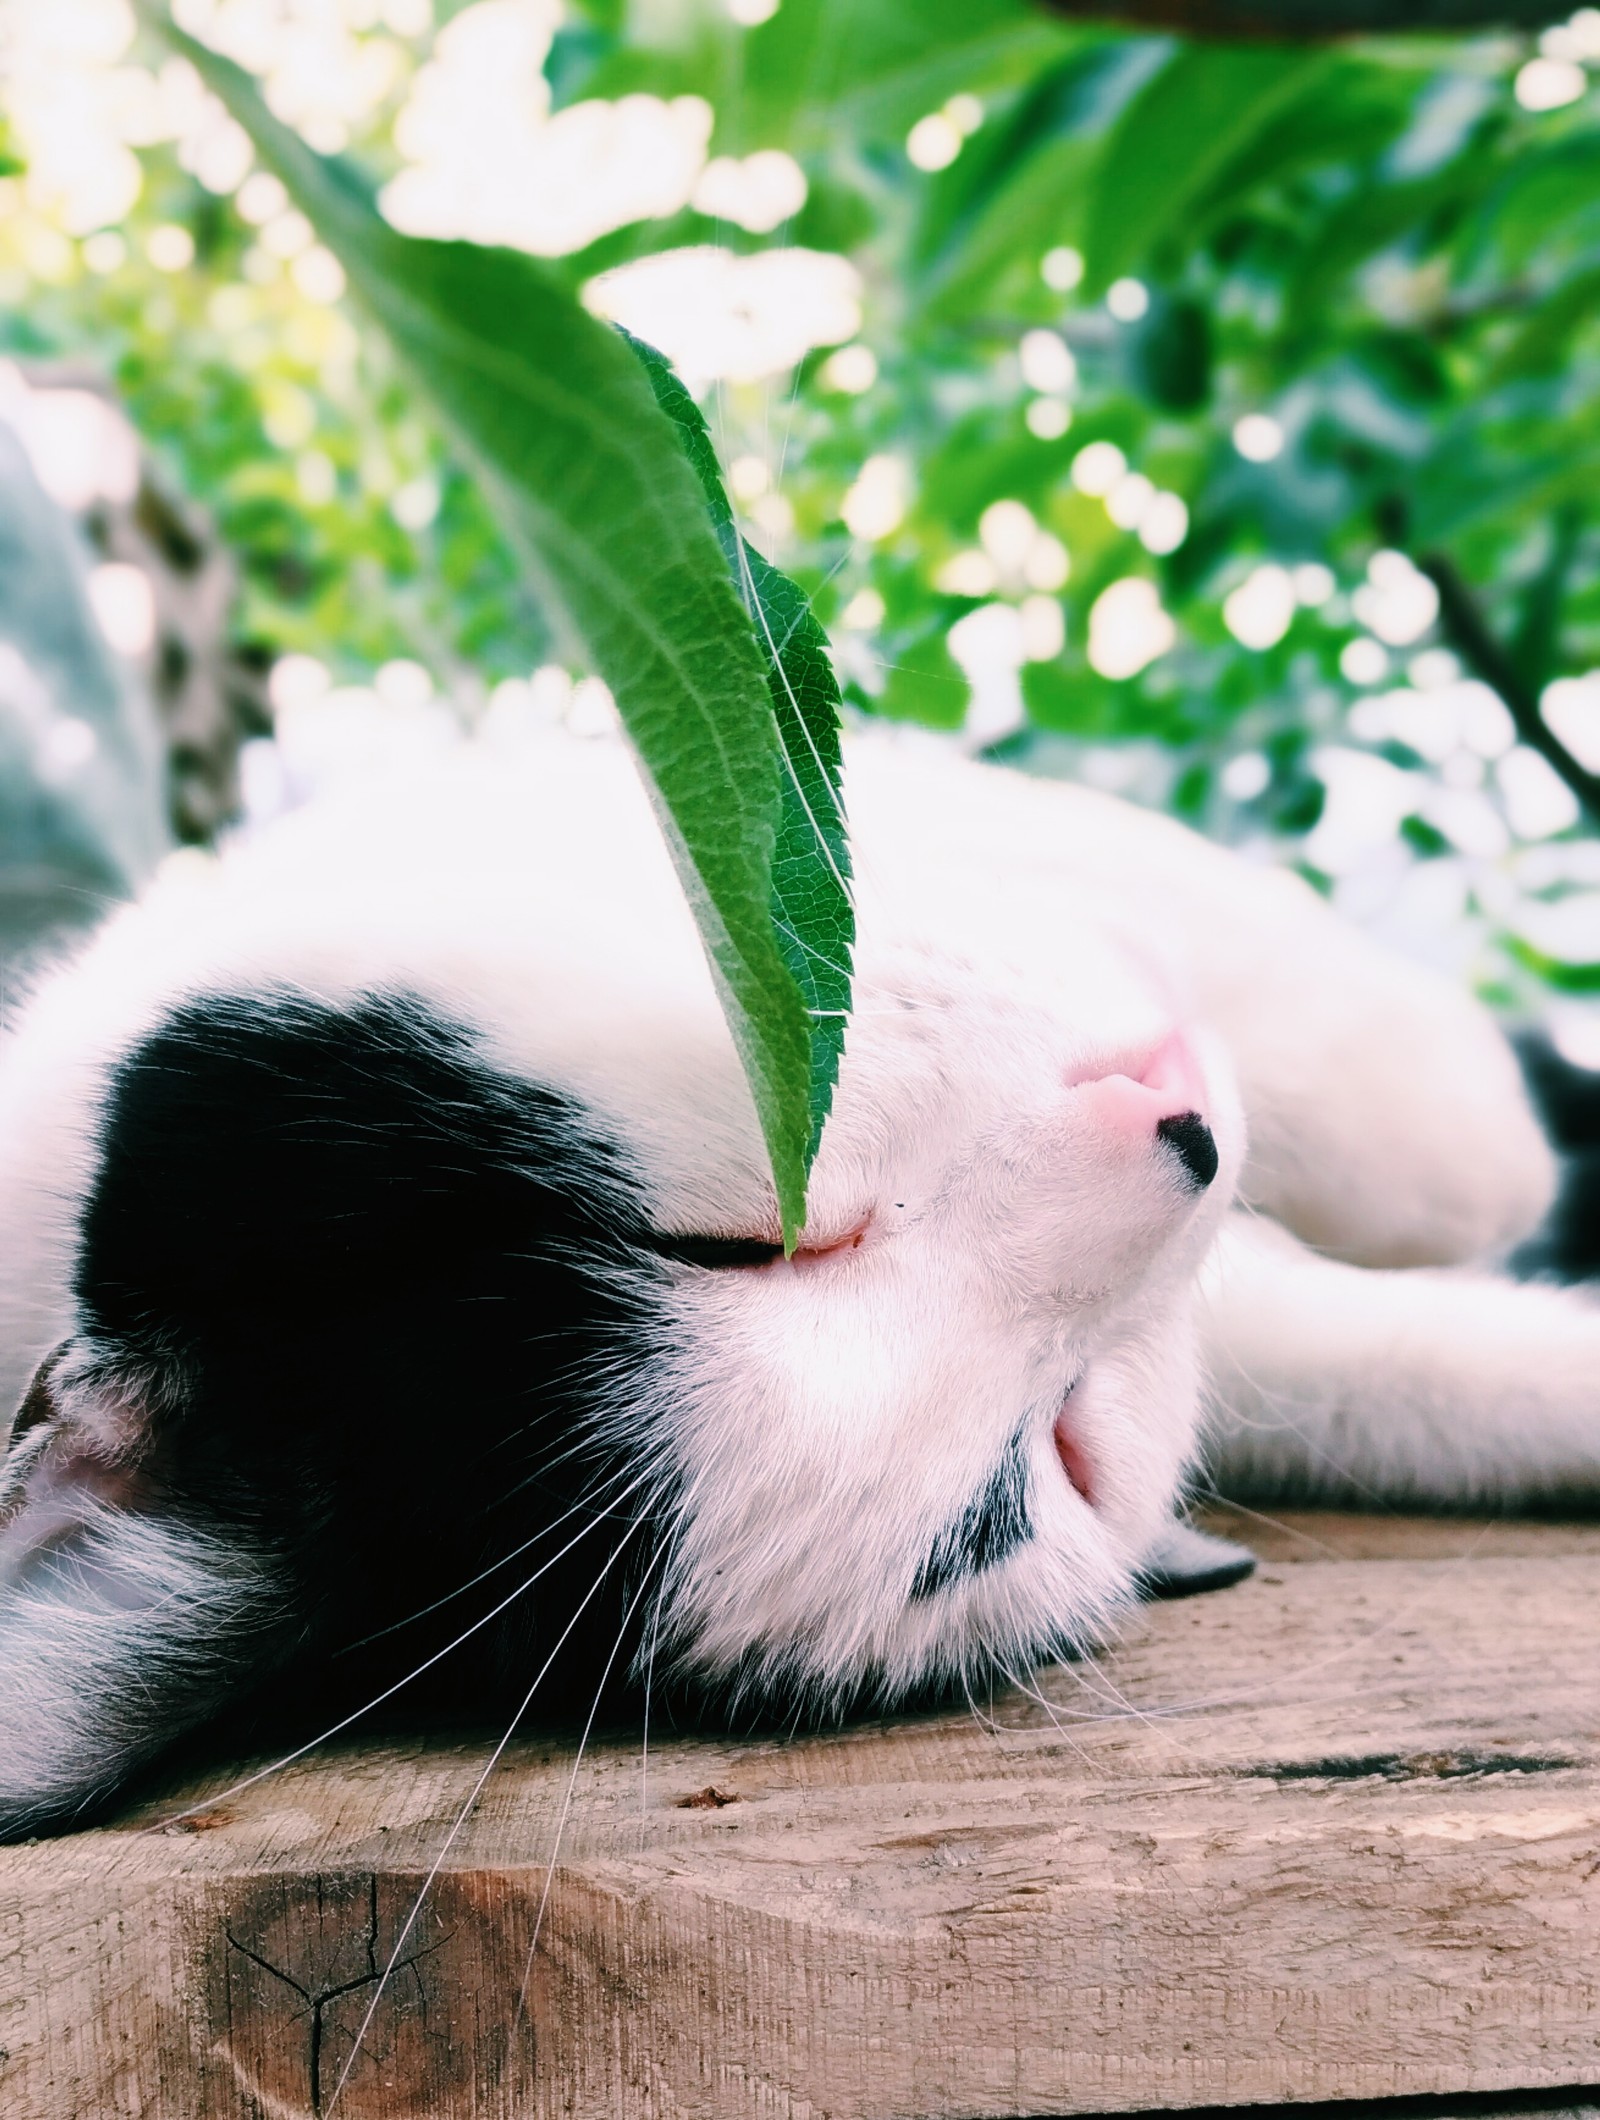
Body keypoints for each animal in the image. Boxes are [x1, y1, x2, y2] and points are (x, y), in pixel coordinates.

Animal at [3, 733, 1600, 1840]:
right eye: (1061, 1448)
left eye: (737, 1239)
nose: (1185, 1132)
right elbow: (1407, 1372)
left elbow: (1380, 1087)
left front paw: (1473, 1131)